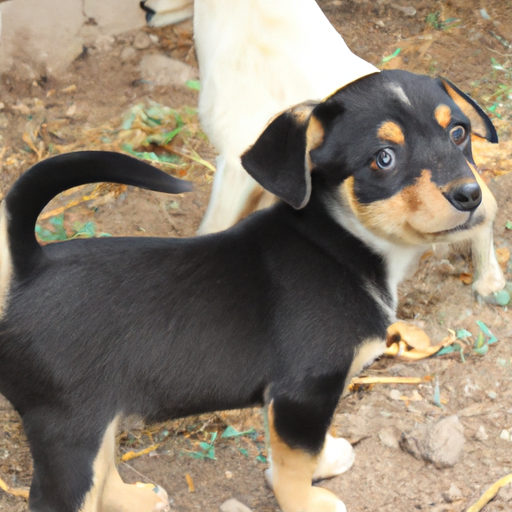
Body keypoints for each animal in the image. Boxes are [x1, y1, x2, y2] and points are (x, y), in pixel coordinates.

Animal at [0, 69, 496, 512]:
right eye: (384, 157)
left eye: (458, 133)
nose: (471, 195)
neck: (339, 241)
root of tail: (31, 267)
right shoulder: (303, 392)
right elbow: (294, 463)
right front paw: (305, 502)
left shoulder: (292, 401)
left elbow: (296, 450)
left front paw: (325, 459)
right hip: (68, 428)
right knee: (60, 496)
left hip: (92, 422)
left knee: (102, 474)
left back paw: (135, 500)